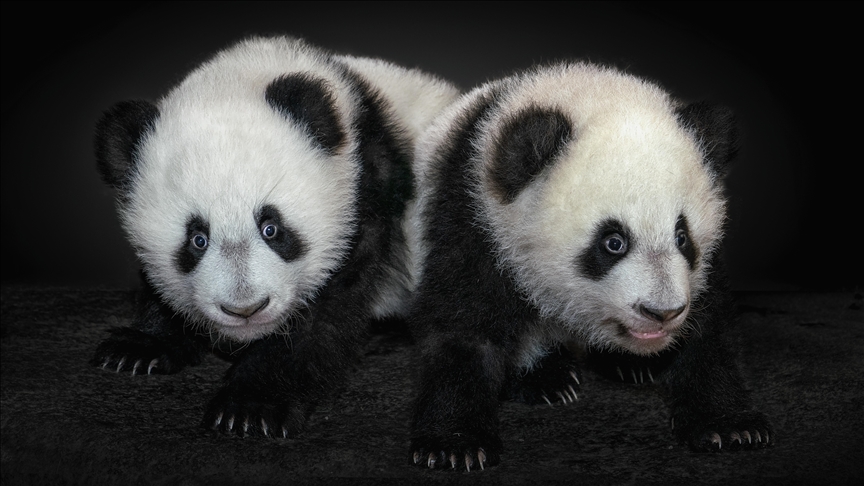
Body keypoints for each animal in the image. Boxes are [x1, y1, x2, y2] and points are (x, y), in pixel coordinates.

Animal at [91, 36, 459, 438]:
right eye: (197, 240)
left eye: (272, 229)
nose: (245, 309)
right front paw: (142, 346)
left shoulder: (365, 190)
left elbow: (324, 310)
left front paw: (252, 405)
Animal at [408, 62, 773, 470]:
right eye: (613, 242)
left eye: (682, 236)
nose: (661, 313)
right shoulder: (475, 217)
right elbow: (464, 324)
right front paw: (456, 444)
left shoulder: (701, 273)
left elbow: (706, 327)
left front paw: (729, 425)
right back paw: (546, 378)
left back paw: (628, 366)